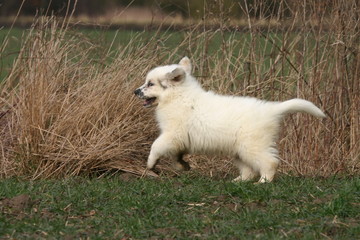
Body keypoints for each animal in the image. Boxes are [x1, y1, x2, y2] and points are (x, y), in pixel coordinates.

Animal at [134, 57, 324, 183]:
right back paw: (238, 181)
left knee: (269, 162)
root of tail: (272, 110)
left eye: (150, 84)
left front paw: (150, 163)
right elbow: (175, 155)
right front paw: (182, 166)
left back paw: (263, 181)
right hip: (238, 150)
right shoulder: (179, 140)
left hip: (252, 146)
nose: (135, 91)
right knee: (249, 170)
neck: (178, 96)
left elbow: (156, 145)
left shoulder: (172, 134)